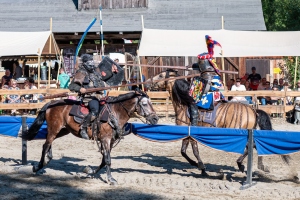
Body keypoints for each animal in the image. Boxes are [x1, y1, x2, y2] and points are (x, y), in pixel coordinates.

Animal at [22, 89, 159, 184]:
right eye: (144, 103)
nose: (155, 119)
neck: (115, 112)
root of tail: (51, 102)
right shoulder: (105, 139)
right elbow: (108, 160)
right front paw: (110, 179)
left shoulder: (110, 141)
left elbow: (104, 161)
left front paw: (89, 172)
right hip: (55, 128)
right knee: (45, 145)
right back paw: (38, 166)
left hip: (62, 130)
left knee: (48, 142)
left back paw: (47, 159)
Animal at [146, 70, 290, 175]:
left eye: (160, 75)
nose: (147, 83)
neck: (185, 103)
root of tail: (253, 110)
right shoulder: (187, 135)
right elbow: (184, 151)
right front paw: (197, 165)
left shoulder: (190, 135)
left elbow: (192, 151)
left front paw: (201, 166)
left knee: (252, 146)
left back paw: (244, 165)